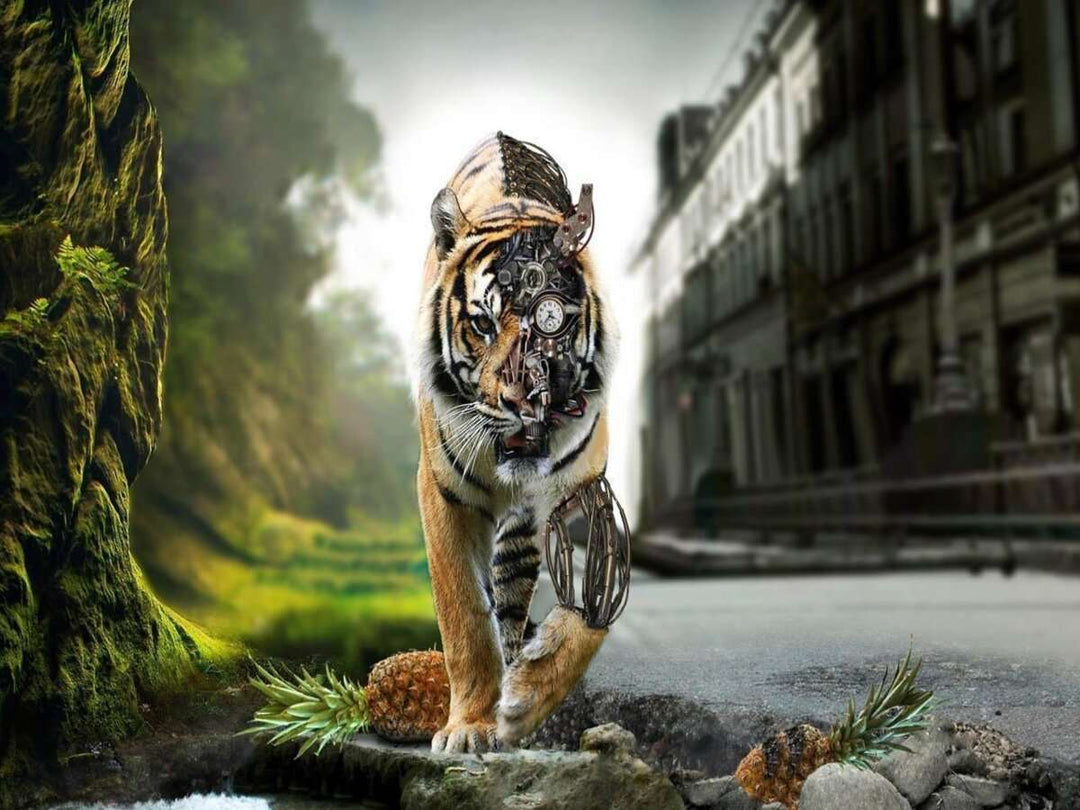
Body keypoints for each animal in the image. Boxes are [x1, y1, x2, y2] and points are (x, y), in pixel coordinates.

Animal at [415, 132, 617, 753]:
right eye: (482, 324)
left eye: (551, 322)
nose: (524, 401)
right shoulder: (444, 495)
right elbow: (463, 616)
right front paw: (471, 726)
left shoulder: (583, 493)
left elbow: (586, 613)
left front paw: (526, 700)